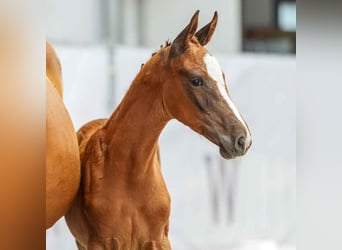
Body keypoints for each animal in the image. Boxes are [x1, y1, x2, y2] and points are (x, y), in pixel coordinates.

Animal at [65, 10, 251, 249]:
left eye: (223, 78)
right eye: (196, 80)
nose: (243, 139)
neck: (131, 174)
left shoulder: (158, 240)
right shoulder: (100, 242)